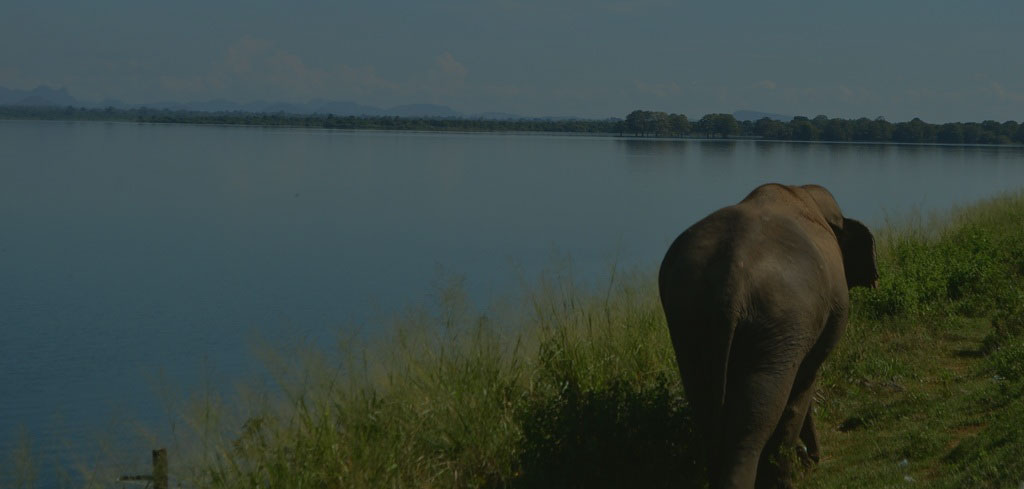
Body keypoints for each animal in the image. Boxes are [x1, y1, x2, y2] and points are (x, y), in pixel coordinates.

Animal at [659, 183, 876, 488]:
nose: (813, 459)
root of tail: (729, 282)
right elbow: (804, 385)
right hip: (777, 323)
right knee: (758, 413)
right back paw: (775, 480)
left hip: (688, 321)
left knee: (705, 406)